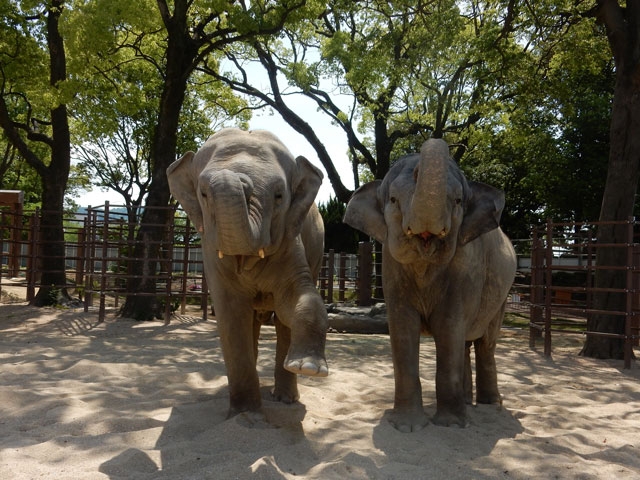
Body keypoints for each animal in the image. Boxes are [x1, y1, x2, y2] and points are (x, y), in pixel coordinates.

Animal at [165, 128, 328, 420]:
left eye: (279, 196)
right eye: (203, 193)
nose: (241, 181)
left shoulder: (291, 237)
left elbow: (294, 298)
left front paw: (309, 368)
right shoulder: (210, 252)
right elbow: (231, 315)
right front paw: (245, 415)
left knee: (282, 323)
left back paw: (285, 398)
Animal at [342, 137, 516, 430]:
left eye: (458, 201)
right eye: (393, 199)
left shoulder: (466, 267)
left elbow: (448, 326)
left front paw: (451, 425)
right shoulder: (390, 266)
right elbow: (402, 328)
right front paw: (407, 426)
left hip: (502, 295)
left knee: (485, 343)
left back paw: (490, 406)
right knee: (465, 344)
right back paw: (467, 403)